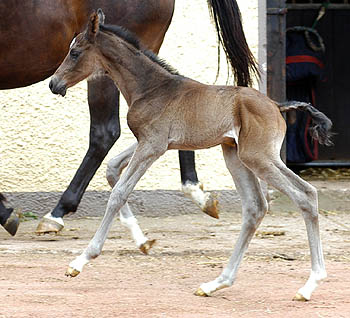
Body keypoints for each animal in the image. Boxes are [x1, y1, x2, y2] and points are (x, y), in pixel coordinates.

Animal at [0, 0, 258, 236]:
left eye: (74, 53)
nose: (54, 84)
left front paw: (6, 213)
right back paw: (198, 194)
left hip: (114, 69)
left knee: (104, 132)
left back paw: (56, 214)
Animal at [48, 10, 330, 300]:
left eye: (75, 52)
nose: (53, 84)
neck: (150, 88)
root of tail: (277, 105)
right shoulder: (154, 143)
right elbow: (112, 168)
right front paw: (142, 241)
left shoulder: (152, 145)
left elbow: (119, 193)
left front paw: (80, 261)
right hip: (236, 155)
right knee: (255, 207)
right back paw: (216, 283)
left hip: (259, 157)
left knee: (305, 194)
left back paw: (310, 284)